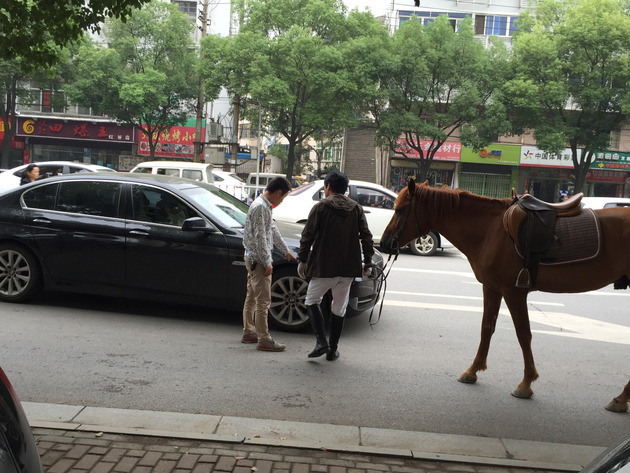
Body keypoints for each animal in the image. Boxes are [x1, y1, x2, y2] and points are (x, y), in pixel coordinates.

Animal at [380, 179, 630, 412]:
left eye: (400, 209)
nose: (383, 244)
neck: (490, 230)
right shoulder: (491, 288)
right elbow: (486, 328)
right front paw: (473, 370)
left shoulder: (513, 292)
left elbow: (523, 334)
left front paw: (526, 383)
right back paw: (621, 398)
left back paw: (621, 398)